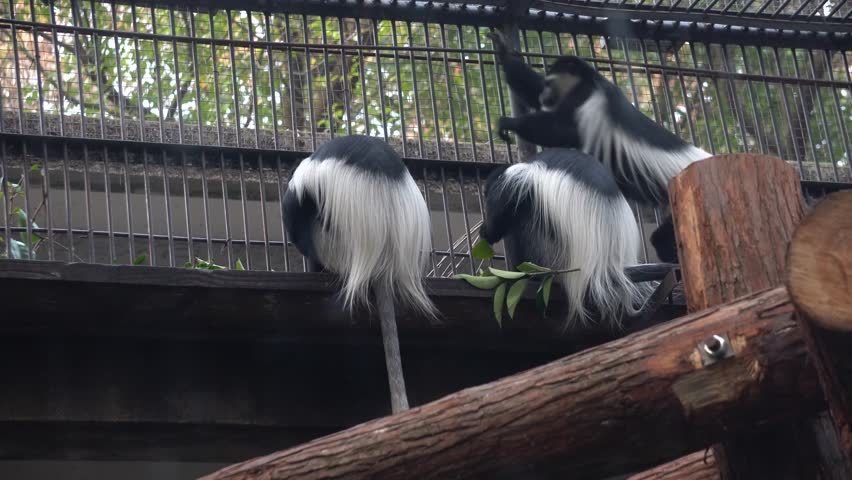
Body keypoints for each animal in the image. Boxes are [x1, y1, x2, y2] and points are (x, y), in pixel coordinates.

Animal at [480, 147, 651, 327]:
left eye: (487, 195)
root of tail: (606, 266)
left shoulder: (514, 181)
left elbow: (498, 222)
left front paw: (485, 232)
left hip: (551, 259)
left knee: (520, 225)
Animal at [487, 31, 712, 263]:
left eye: (550, 84)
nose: (544, 94)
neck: (591, 83)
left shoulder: (587, 103)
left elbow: (563, 130)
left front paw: (509, 123)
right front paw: (503, 51)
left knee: (662, 237)